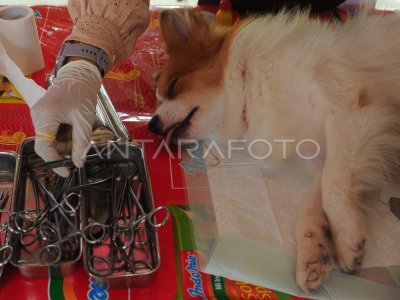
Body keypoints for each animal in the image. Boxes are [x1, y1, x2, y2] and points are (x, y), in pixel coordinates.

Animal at [148, 9, 400, 292]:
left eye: (174, 85)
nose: (151, 125)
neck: (251, 88)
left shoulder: (346, 110)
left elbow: (333, 186)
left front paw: (346, 237)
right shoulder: (321, 155)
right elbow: (313, 204)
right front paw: (313, 252)